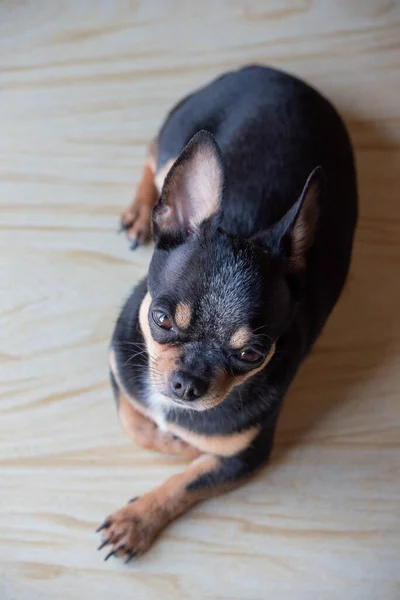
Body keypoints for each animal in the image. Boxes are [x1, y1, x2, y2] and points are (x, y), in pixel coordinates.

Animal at [98, 67, 358, 564]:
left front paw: (137, 520)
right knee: (154, 157)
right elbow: (136, 423)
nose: (187, 384)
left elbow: (188, 481)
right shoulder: (120, 372)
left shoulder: (244, 457)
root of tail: (274, 72)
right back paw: (141, 211)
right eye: (161, 319)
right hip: (178, 137)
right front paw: (174, 440)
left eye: (252, 355)